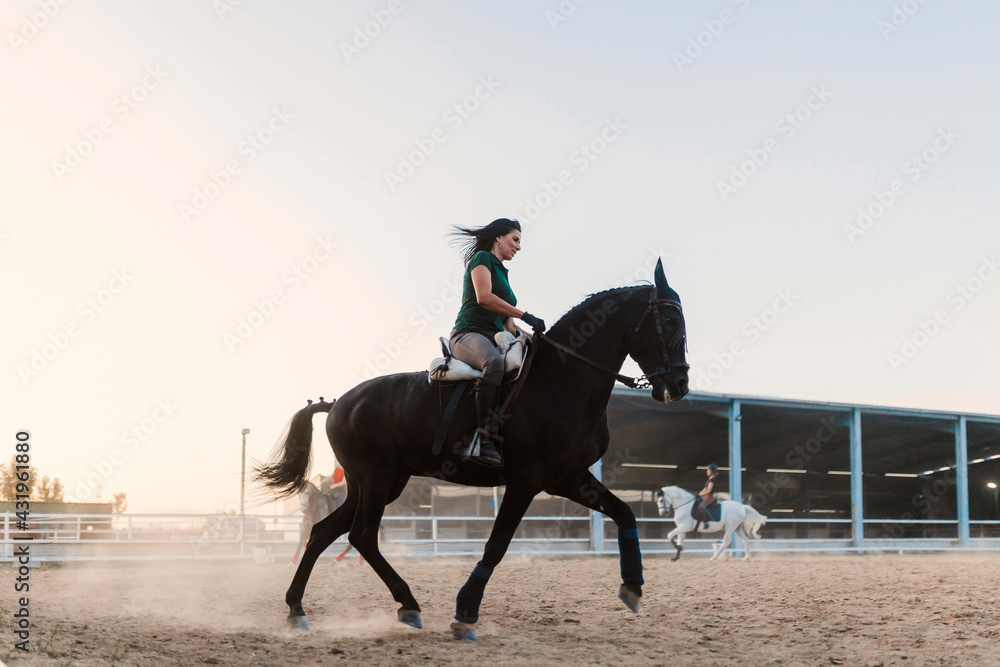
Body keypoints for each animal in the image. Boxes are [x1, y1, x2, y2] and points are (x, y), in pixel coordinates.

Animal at [254, 258, 689, 641]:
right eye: (670, 321)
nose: (680, 386)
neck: (562, 380)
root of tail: (339, 403)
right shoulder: (526, 482)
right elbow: (495, 547)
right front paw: (465, 614)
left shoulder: (569, 479)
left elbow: (625, 512)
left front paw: (633, 586)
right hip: (376, 480)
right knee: (361, 536)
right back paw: (407, 604)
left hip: (376, 484)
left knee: (324, 531)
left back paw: (297, 610)